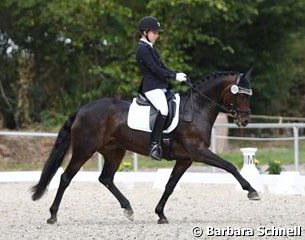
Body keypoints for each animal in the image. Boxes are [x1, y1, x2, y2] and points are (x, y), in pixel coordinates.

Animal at [30, 68, 258, 225]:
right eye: (240, 94)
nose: (245, 121)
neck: (196, 110)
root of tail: (83, 109)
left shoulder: (185, 159)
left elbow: (170, 186)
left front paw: (160, 214)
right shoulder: (198, 152)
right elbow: (230, 166)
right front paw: (252, 191)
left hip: (114, 151)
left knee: (106, 178)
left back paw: (128, 209)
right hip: (84, 150)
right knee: (65, 177)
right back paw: (52, 216)